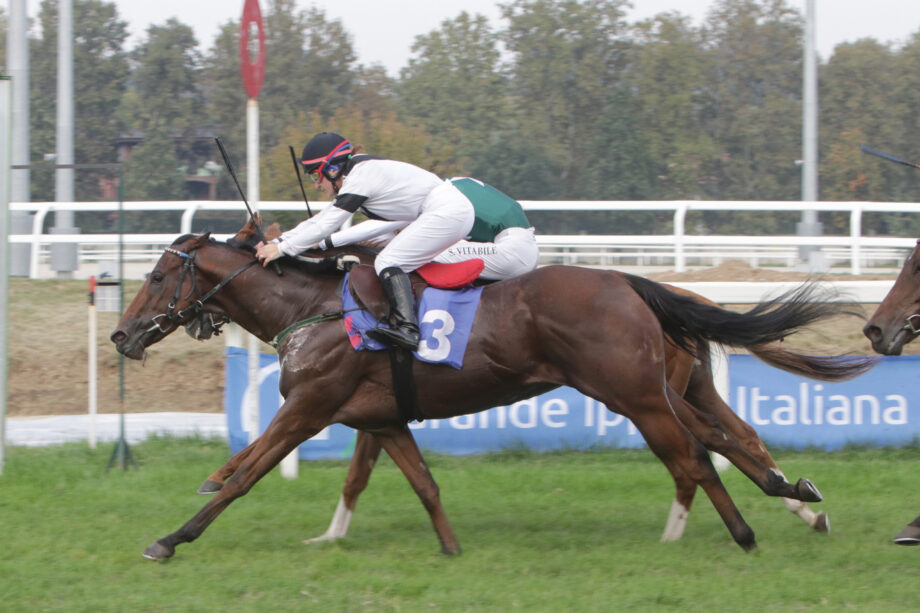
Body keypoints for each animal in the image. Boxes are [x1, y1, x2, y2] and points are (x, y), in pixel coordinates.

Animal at [111, 233, 860, 560]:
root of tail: (627, 280)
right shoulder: (381, 419)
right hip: (661, 387)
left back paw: (747, 527)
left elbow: (247, 473)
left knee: (699, 455)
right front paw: (445, 546)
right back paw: (793, 497)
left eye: (157, 275)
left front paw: (173, 535)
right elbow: (415, 481)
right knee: (724, 439)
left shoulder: (307, 408)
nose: (122, 334)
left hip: (637, 393)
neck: (317, 309)